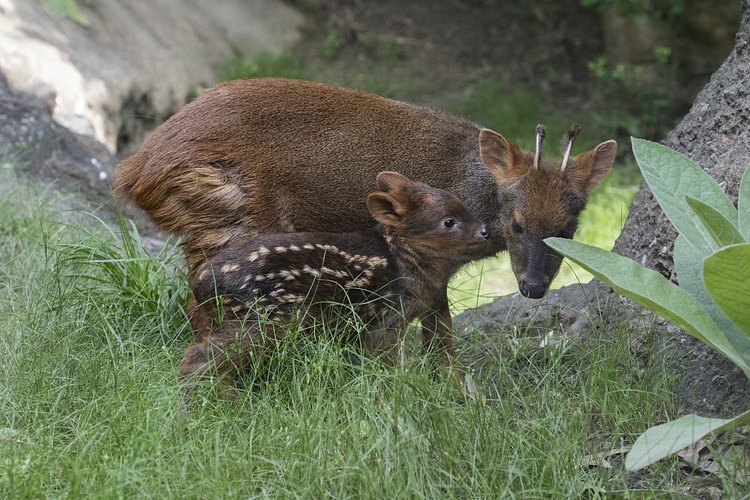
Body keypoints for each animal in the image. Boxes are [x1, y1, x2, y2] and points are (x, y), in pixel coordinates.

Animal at [114, 77, 617, 370]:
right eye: (516, 224)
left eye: (569, 231)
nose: (532, 288)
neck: (472, 187)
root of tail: (135, 174)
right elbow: (436, 332)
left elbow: (438, 330)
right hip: (237, 218)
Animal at [178, 171, 490, 399]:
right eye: (448, 222)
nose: (486, 230)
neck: (404, 261)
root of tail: (201, 284)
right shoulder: (385, 319)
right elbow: (384, 363)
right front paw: (395, 392)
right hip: (261, 320)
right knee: (198, 358)